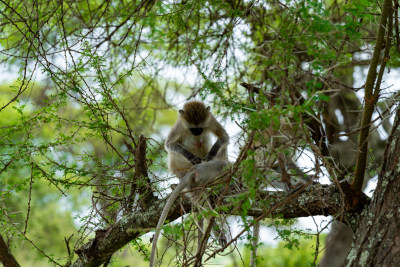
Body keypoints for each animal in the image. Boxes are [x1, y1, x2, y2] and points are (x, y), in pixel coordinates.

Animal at [149, 101, 231, 267]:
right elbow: (170, 144)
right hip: (179, 168)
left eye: (200, 127)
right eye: (193, 129)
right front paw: (192, 157)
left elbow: (224, 137)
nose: (198, 133)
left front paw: (211, 154)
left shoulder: (210, 120)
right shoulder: (181, 126)